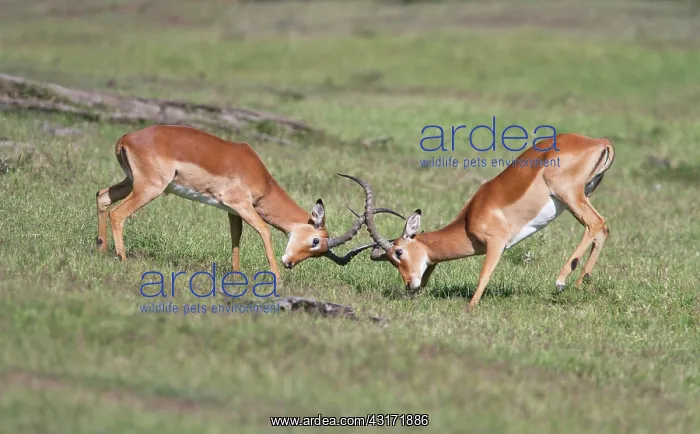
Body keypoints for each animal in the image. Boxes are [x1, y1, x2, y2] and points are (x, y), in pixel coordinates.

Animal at [95, 125, 404, 279]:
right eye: (315, 241)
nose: (290, 263)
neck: (260, 176)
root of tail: (127, 137)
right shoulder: (241, 204)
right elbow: (264, 231)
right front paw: (276, 277)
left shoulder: (231, 211)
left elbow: (236, 237)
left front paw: (236, 273)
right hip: (150, 187)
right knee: (118, 214)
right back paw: (121, 258)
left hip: (131, 182)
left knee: (102, 196)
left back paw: (101, 250)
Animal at [342, 133, 615, 311]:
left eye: (398, 252)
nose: (409, 284)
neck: (468, 220)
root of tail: (599, 142)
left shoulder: (497, 242)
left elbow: (484, 274)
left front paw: (470, 307)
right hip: (582, 196)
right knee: (602, 228)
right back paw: (580, 283)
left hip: (570, 196)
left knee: (596, 223)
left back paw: (560, 281)